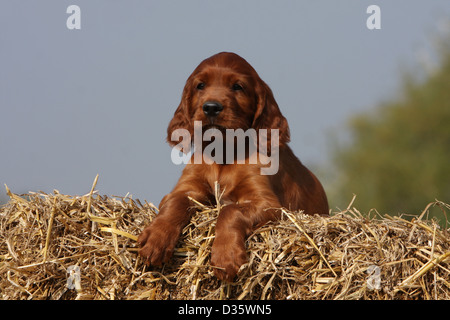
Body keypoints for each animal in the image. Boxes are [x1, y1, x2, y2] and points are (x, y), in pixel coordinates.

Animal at [139, 52, 328, 280]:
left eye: (238, 86)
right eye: (200, 85)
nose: (211, 107)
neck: (224, 152)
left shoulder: (269, 204)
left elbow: (230, 211)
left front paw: (226, 257)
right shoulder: (186, 189)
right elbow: (174, 203)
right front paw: (156, 238)